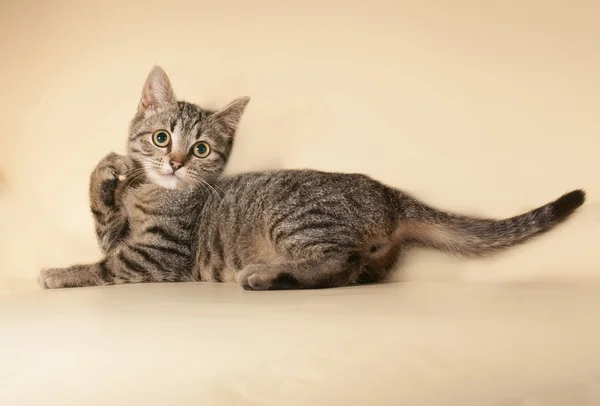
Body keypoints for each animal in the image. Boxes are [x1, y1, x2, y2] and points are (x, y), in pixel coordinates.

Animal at [38, 66, 584, 290]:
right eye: (160, 138)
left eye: (200, 149)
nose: (174, 162)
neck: (154, 195)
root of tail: (389, 192)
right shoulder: (120, 233)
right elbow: (104, 214)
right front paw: (110, 169)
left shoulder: (157, 256)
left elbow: (103, 267)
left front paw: (59, 273)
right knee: (352, 273)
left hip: (298, 220)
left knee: (335, 264)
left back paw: (264, 276)